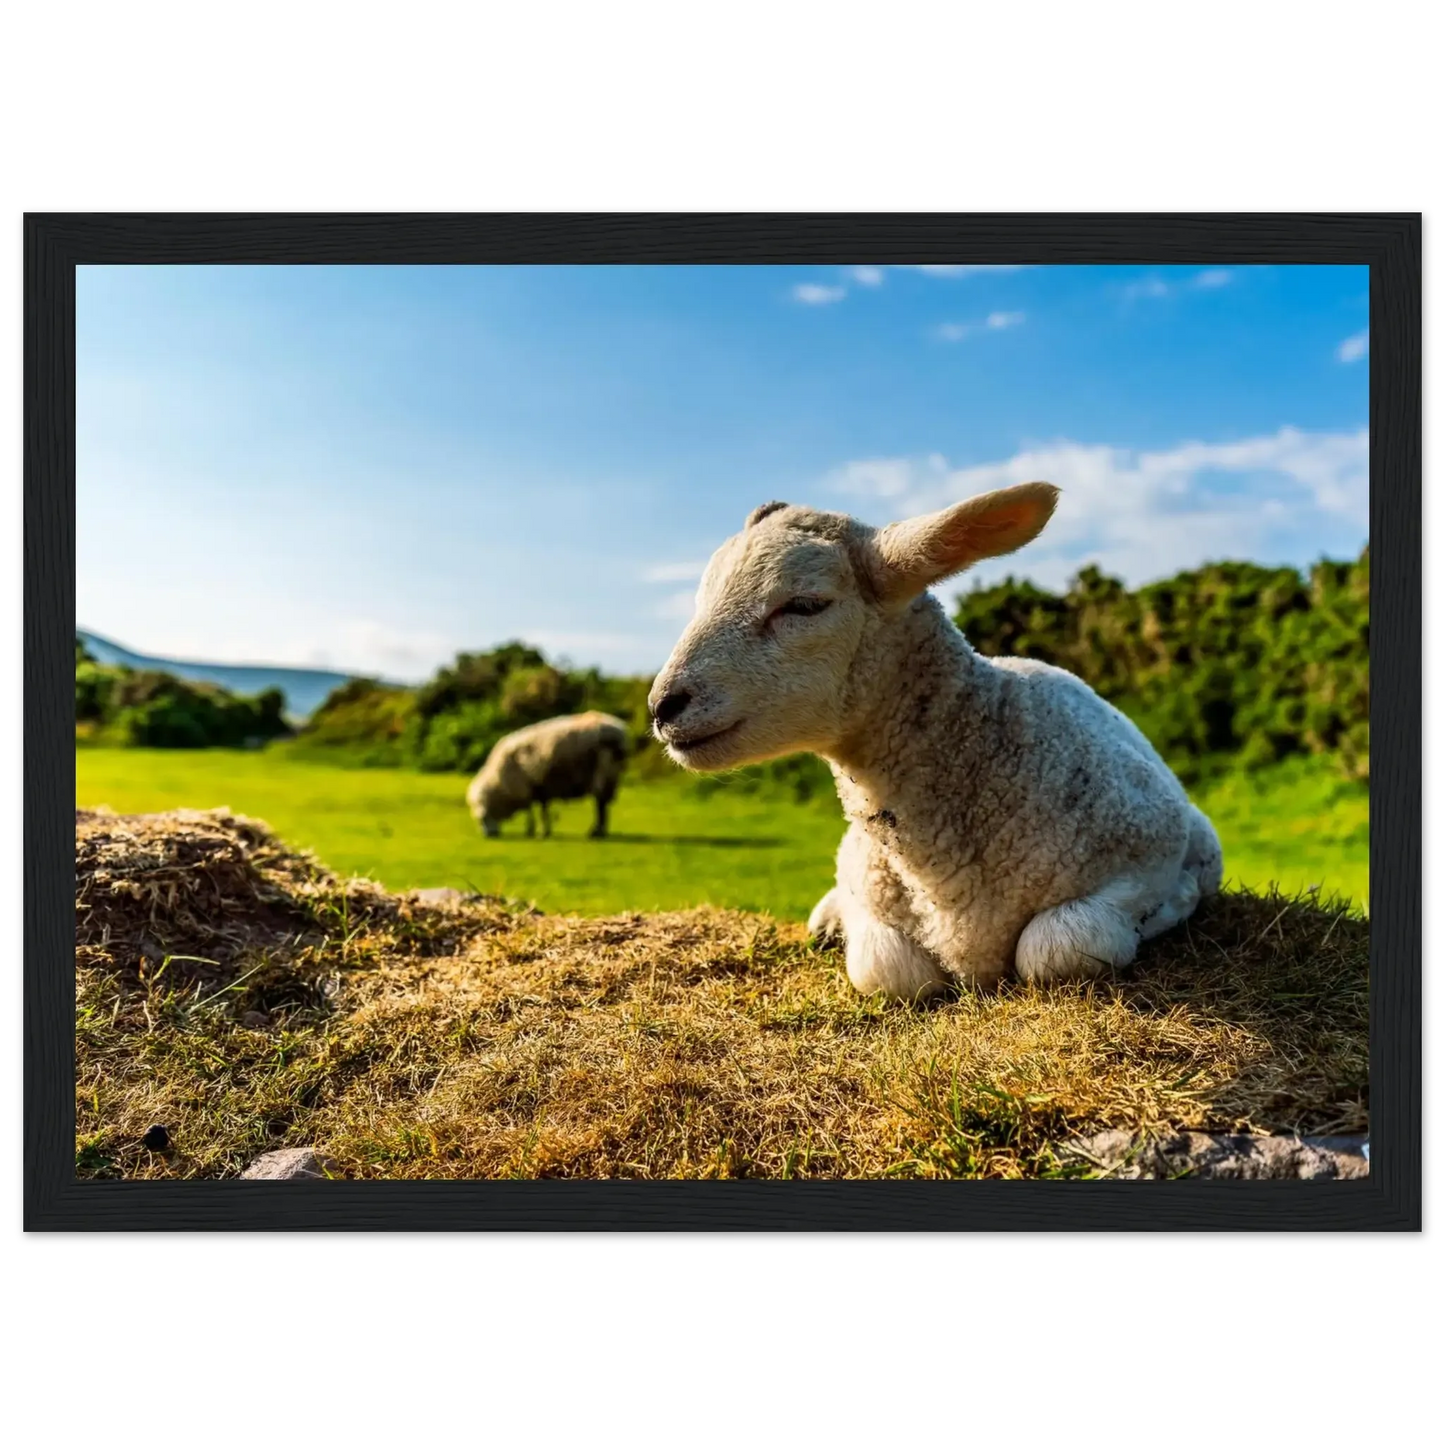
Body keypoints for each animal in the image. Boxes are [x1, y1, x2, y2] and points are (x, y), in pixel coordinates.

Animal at [466, 711, 630, 839]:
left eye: (481, 819)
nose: (488, 836)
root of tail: (620, 730)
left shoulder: (530, 786)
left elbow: (535, 810)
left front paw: (537, 831)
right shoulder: (538, 787)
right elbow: (538, 809)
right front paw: (539, 830)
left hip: (604, 769)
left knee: (600, 804)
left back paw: (597, 833)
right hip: (610, 775)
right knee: (603, 804)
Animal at [647, 485, 1223, 1001]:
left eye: (806, 604)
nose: (661, 706)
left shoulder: (1152, 850)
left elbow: (1057, 947)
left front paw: (1174, 905)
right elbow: (888, 971)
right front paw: (844, 925)